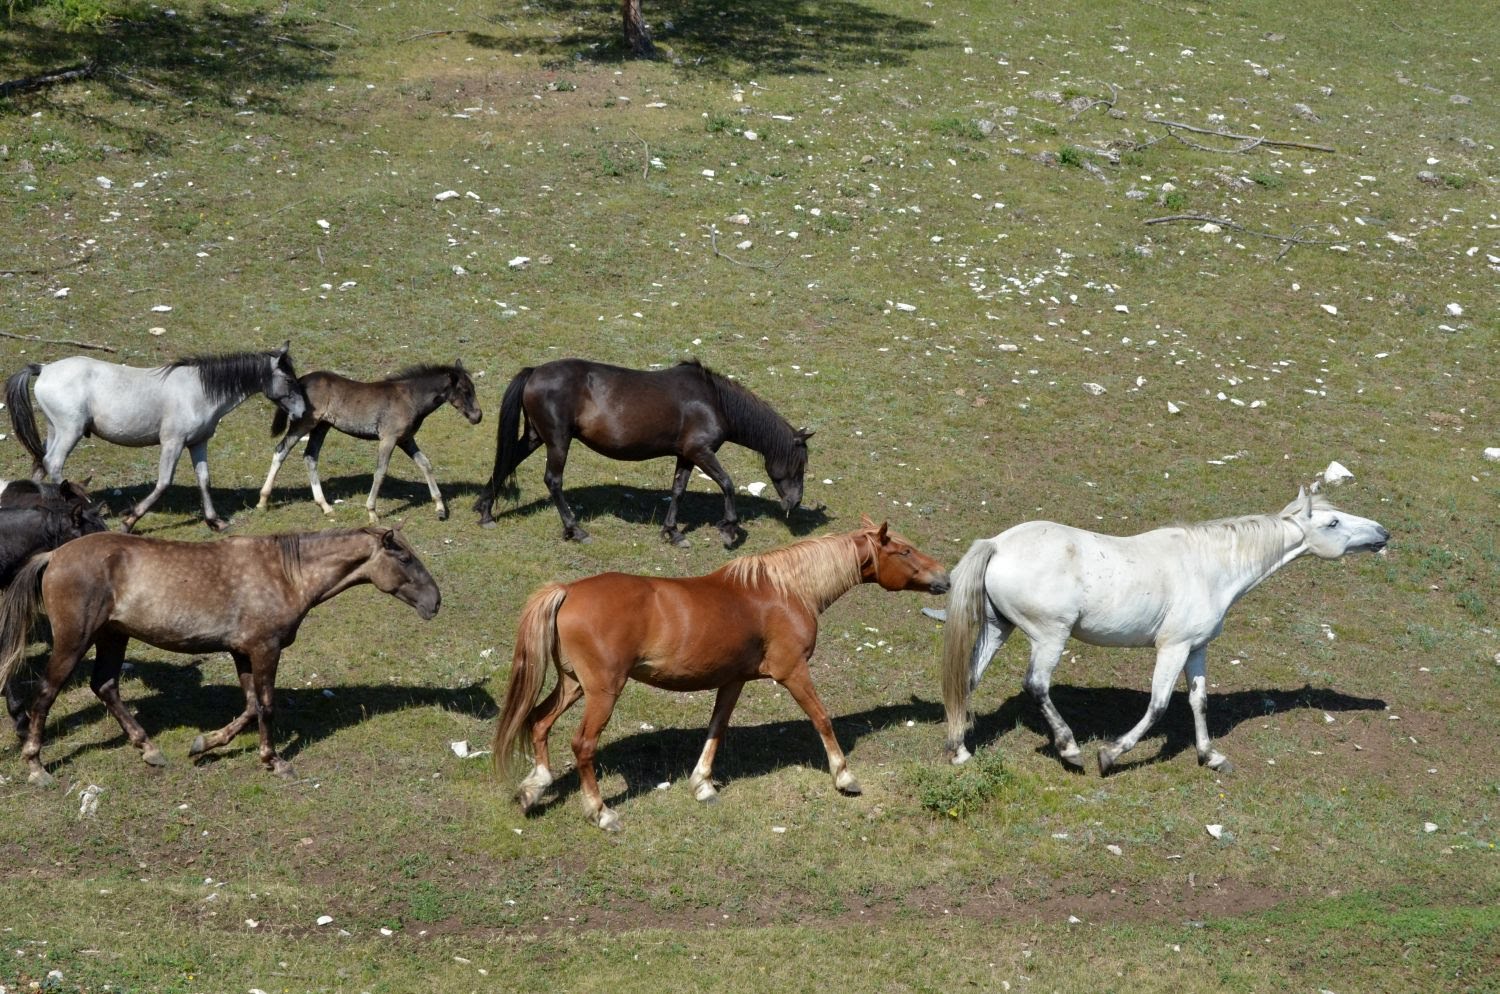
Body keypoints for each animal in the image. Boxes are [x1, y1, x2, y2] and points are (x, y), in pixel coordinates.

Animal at [0, 527, 441, 785]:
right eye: (404, 557)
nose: (435, 602)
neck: (285, 574)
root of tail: (54, 556)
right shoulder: (264, 649)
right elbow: (266, 706)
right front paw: (274, 761)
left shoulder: (243, 651)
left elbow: (249, 707)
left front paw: (203, 745)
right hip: (75, 640)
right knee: (46, 693)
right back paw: (37, 767)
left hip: (112, 636)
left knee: (105, 685)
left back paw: (150, 750)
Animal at [5, 346, 304, 533]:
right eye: (290, 380)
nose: (302, 412)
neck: (199, 391)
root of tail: (44, 369)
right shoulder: (172, 443)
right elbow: (163, 483)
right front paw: (129, 521)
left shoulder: (197, 443)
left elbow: (204, 480)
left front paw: (215, 521)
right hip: (70, 431)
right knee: (54, 464)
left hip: (55, 430)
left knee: (40, 465)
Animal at [474, 355, 816, 545]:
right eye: (799, 465)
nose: (794, 502)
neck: (713, 401)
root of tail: (534, 371)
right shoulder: (701, 452)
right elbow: (728, 484)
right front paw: (729, 529)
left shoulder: (686, 455)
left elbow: (678, 491)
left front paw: (673, 533)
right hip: (558, 440)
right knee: (553, 481)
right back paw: (575, 530)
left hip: (536, 436)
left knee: (507, 461)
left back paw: (486, 510)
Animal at [495, 515, 948, 827]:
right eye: (904, 551)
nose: (944, 577)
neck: (786, 590)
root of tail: (567, 590)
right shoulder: (792, 671)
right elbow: (822, 718)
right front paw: (845, 777)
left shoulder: (732, 680)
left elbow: (717, 729)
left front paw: (702, 785)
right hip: (603, 691)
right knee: (582, 745)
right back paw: (601, 812)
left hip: (573, 685)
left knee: (538, 723)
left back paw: (534, 788)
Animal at [942, 488, 1386, 779]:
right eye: (1333, 522)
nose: (1383, 533)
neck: (1209, 566)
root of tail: (998, 544)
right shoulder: (1172, 648)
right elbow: (1158, 706)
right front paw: (1110, 755)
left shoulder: (1197, 649)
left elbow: (1198, 701)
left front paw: (1211, 757)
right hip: (1049, 637)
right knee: (1036, 685)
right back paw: (1070, 750)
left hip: (998, 629)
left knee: (966, 681)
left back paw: (960, 750)